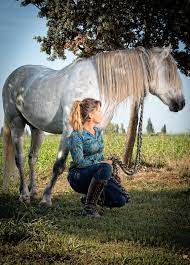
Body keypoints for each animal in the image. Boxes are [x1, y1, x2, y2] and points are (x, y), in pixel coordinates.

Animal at [1, 46, 186, 205]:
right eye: (169, 73)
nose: (181, 103)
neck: (96, 84)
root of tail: (14, 75)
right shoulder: (69, 130)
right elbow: (59, 165)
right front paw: (46, 199)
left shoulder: (98, 130)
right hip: (16, 122)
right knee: (20, 158)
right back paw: (24, 195)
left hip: (37, 129)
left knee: (32, 158)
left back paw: (33, 192)